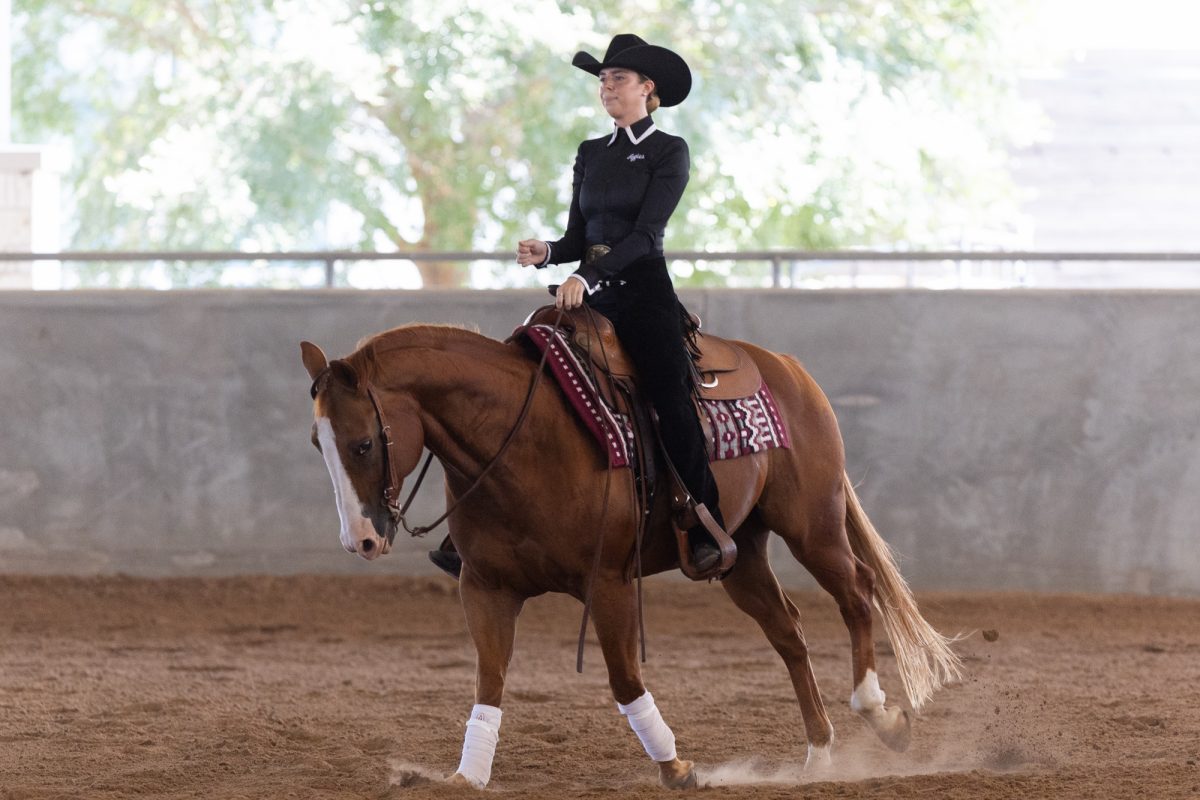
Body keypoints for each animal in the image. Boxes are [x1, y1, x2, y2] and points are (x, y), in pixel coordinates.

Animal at [297, 323, 955, 786]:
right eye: (317, 443)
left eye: (363, 443)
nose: (361, 540)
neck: (522, 438)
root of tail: (790, 370)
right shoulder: (485, 587)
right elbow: (490, 680)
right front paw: (467, 775)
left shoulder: (608, 583)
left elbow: (624, 678)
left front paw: (677, 768)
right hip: (741, 555)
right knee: (789, 633)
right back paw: (818, 755)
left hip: (813, 527)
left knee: (857, 594)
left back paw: (881, 715)